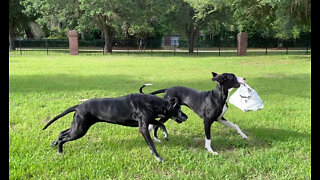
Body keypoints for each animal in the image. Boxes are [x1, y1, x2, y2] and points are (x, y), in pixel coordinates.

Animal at [42, 93, 188, 162]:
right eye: (179, 110)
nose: (186, 117)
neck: (151, 103)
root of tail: (78, 106)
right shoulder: (143, 128)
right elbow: (151, 143)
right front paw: (158, 157)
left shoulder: (149, 120)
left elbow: (161, 124)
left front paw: (165, 135)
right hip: (80, 129)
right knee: (64, 138)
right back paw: (60, 151)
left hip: (77, 126)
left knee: (62, 133)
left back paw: (55, 143)